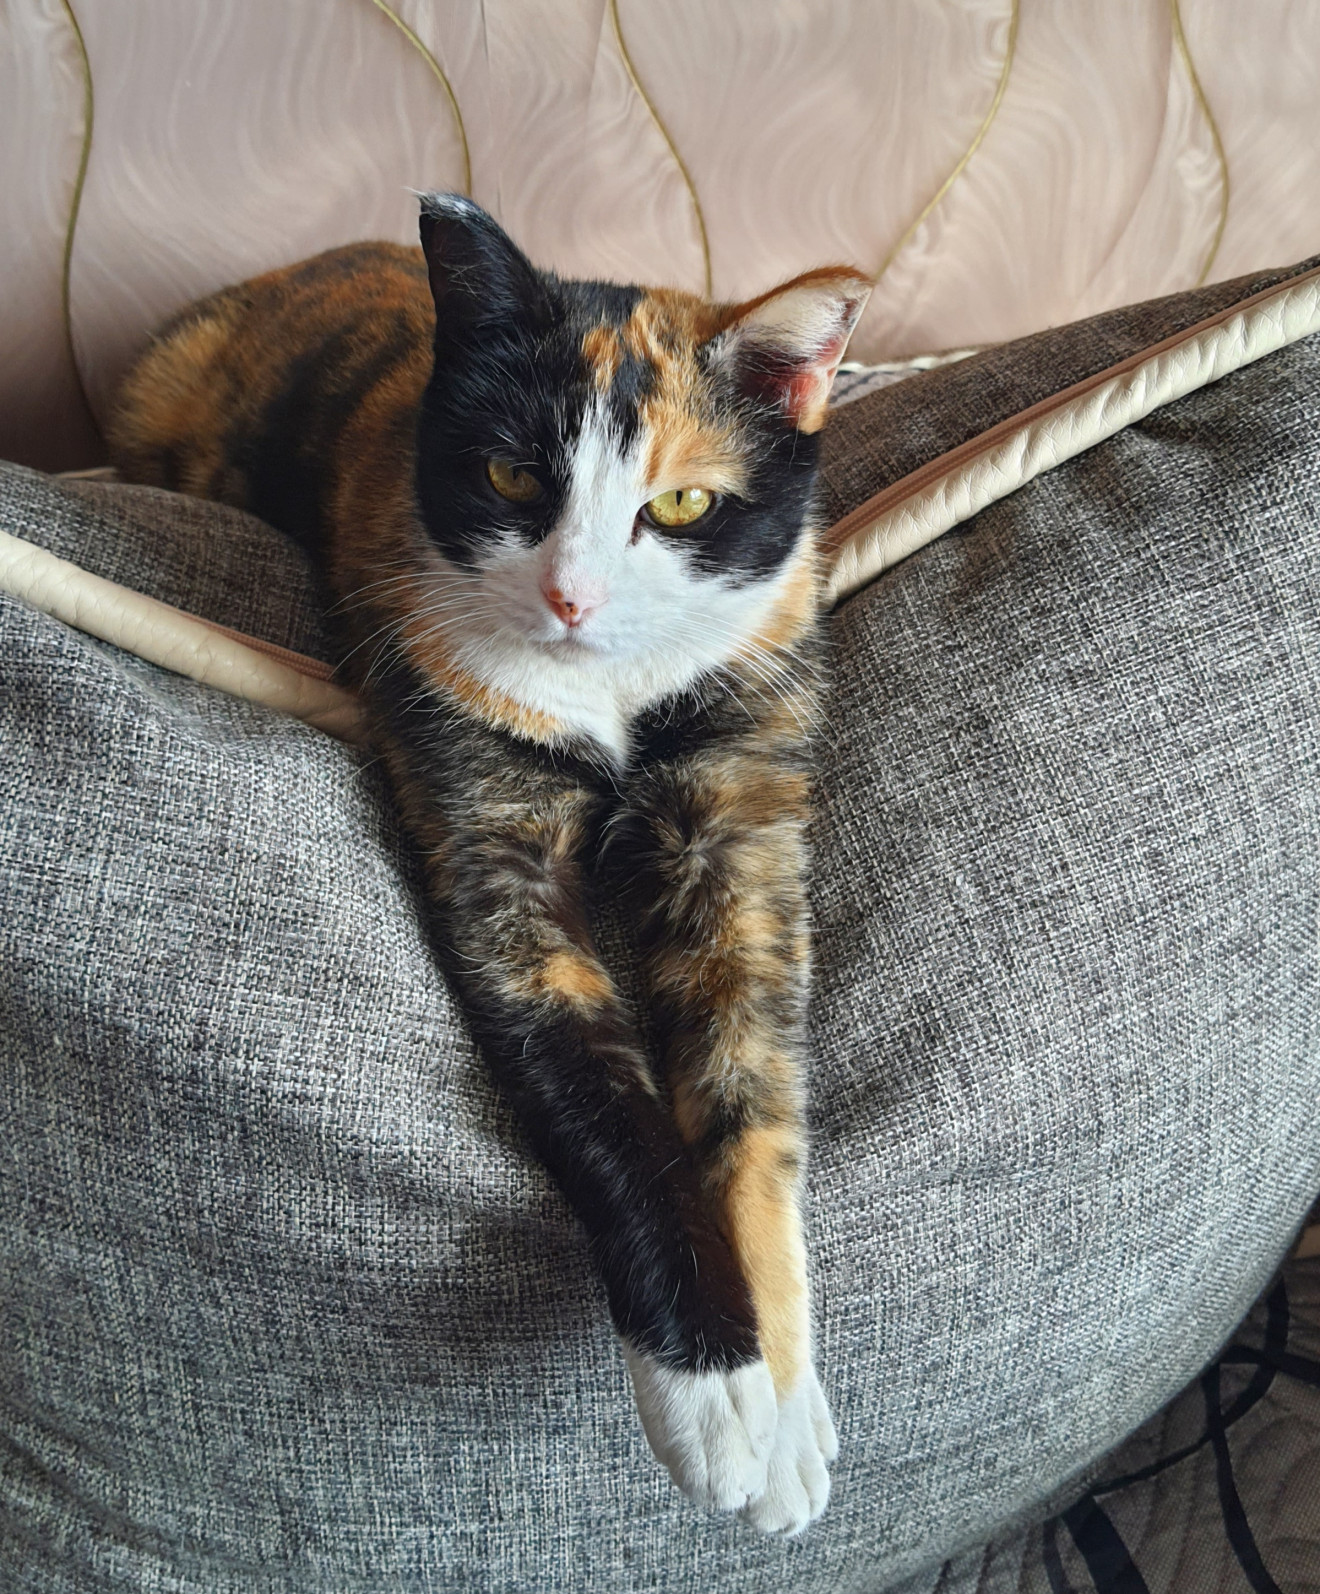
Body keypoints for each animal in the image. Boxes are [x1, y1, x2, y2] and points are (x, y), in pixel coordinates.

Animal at [108, 194, 871, 1536]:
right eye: (516, 474)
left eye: (683, 505)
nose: (571, 598)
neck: (607, 693)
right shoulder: (491, 853)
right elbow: (602, 1103)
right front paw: (716, 1395)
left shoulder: (740, 822)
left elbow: (754, 1087)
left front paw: (782, 1389)